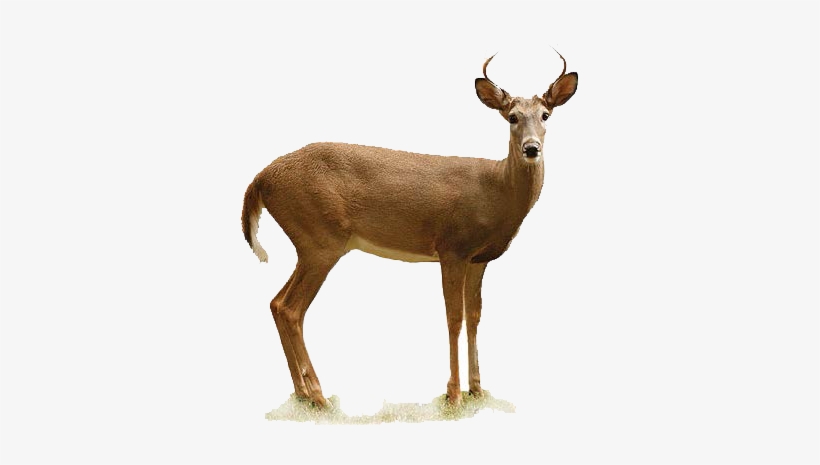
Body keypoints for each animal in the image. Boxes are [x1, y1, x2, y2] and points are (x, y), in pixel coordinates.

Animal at [241, 51, 578, 408]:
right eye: (512, 117)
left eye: (545, 115)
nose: (531, 148)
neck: (496, 190)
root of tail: (260, 180)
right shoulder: (452, 247)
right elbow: (454, 317)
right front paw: (453, 394)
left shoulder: (479, 258)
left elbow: (475, 316)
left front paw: (477, 389)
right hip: (320, 239)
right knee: (291, 308)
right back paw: (320, 397)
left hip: (310, 244)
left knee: (277, 303)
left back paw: (303, 393)